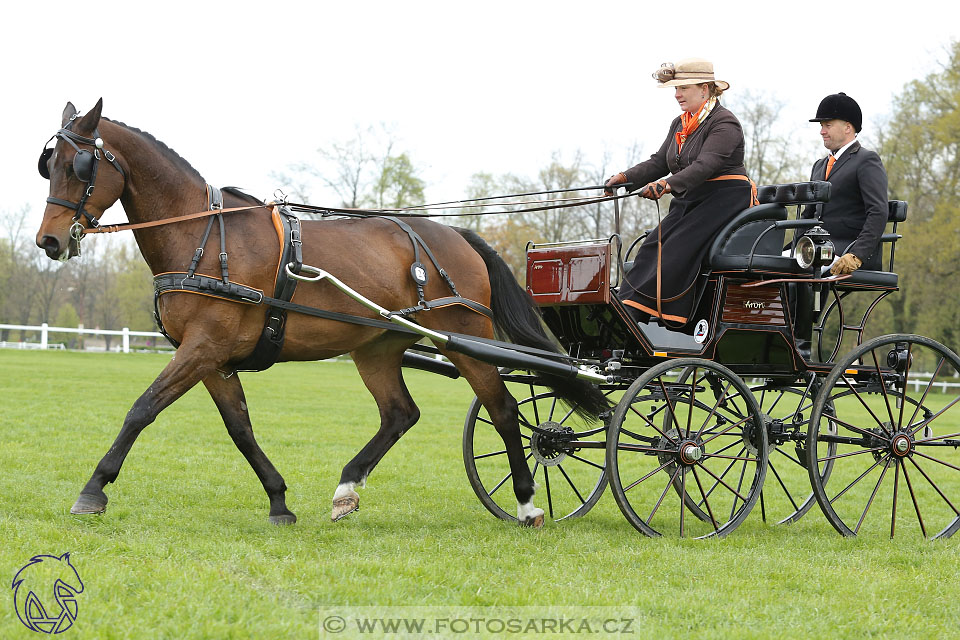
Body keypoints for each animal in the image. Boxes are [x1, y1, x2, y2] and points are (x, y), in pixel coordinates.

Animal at [35, 99, 608, 527]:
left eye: (79, 166)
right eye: (48, 165)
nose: (49, 241)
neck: (203, 236)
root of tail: (457, 235)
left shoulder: (203, 347)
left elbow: (142, 408)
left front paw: (93, 489)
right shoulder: (212, 358)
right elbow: (240, 430)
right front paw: (279, 501)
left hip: (465, 338)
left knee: (505, 410)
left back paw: (528, 504)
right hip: (377, 348)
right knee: (400, 413)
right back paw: (347, 488)